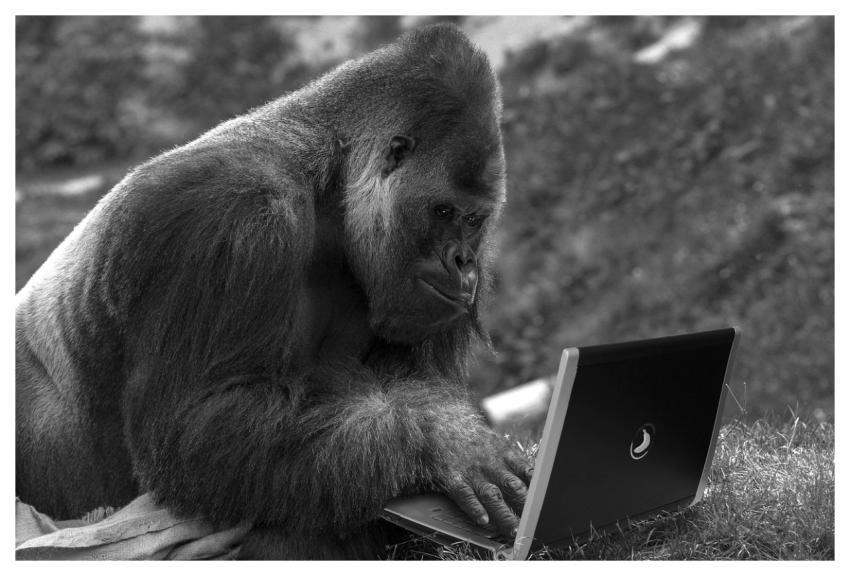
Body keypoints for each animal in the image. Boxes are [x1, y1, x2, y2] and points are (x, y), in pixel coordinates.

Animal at [15, 23, 531, 559]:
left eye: (474, 220)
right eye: (443, 211)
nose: (463, 262)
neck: (332, 184)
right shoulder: (229, 214)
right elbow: (197, 429)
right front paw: (444, 440)